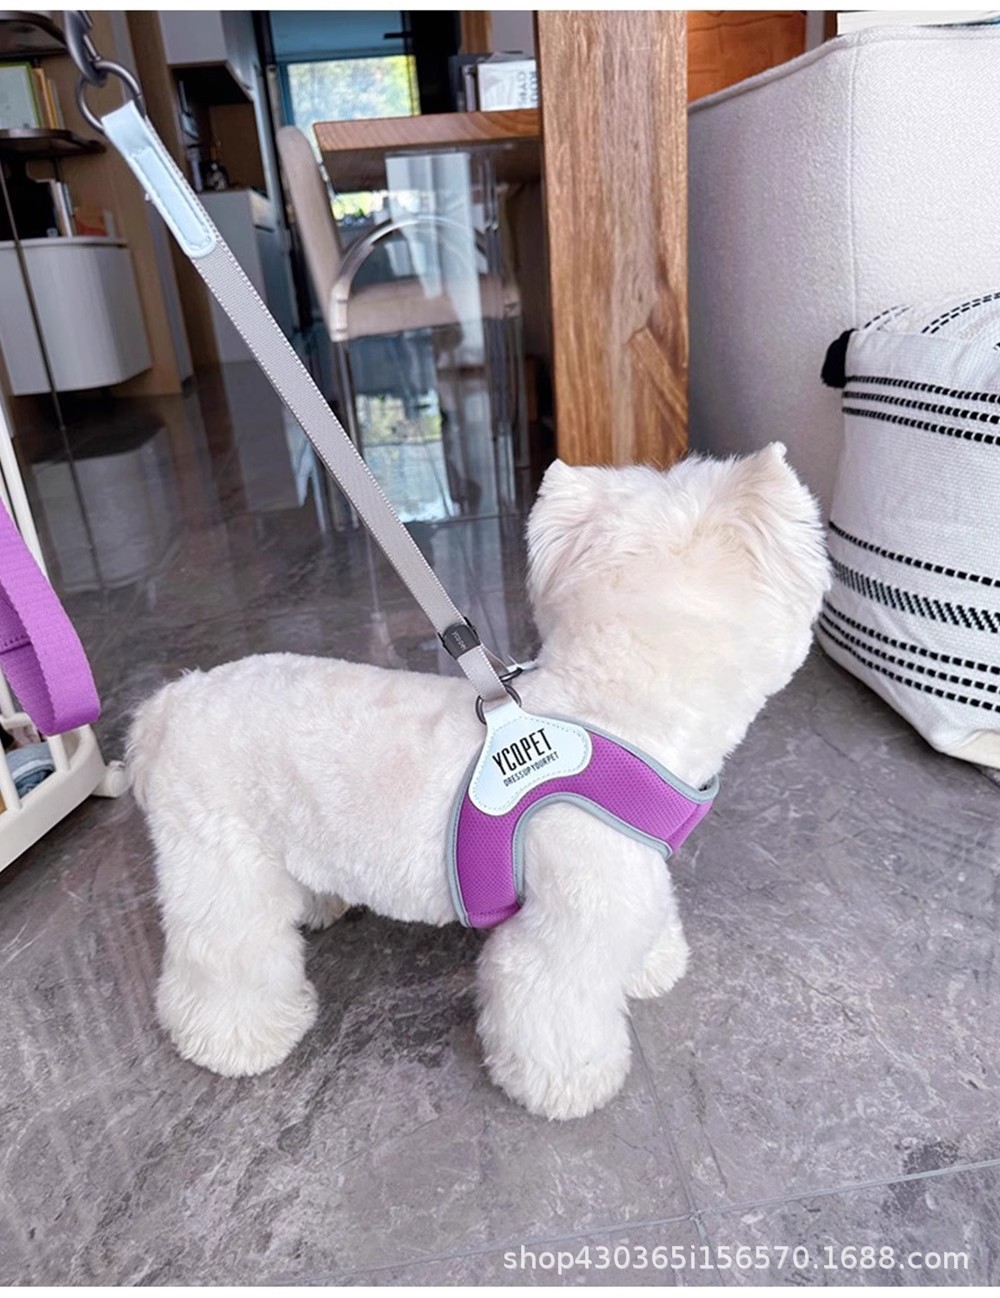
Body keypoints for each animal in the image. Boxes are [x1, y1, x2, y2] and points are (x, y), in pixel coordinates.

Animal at [128, 446, 829, 1120]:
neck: (609, 715)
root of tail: (169, 703)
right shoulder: (563, 928)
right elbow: (552, 1005)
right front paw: (567, 1085)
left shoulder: (632, 879)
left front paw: (651, 965)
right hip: (218, 867)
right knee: (222, 956)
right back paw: (237, 1037)